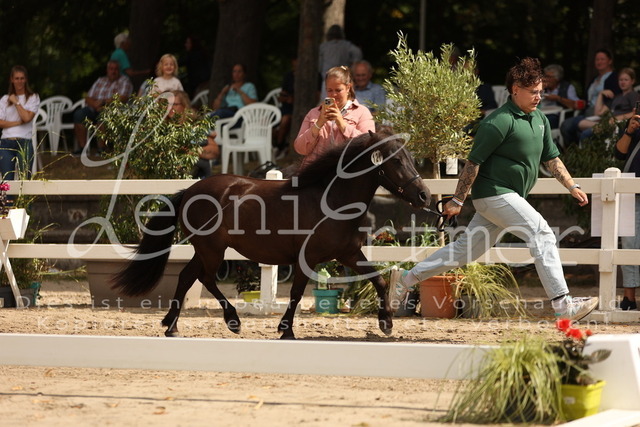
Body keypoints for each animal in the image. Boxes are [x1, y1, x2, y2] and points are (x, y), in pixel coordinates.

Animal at [110, 131, 431, 339]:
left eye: (410, 158)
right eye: (396, 161)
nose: (425, 195)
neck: (331, 200)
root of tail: (190, 190)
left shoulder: (348, 254)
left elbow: (378, 279)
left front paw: (386, 323)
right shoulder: (307, 258)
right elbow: (298, 293)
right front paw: (285, 330)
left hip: (205, 249)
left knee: (188, 277)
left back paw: (172, 326)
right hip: (212, 249)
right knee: (204, 278)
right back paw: (232, 321)